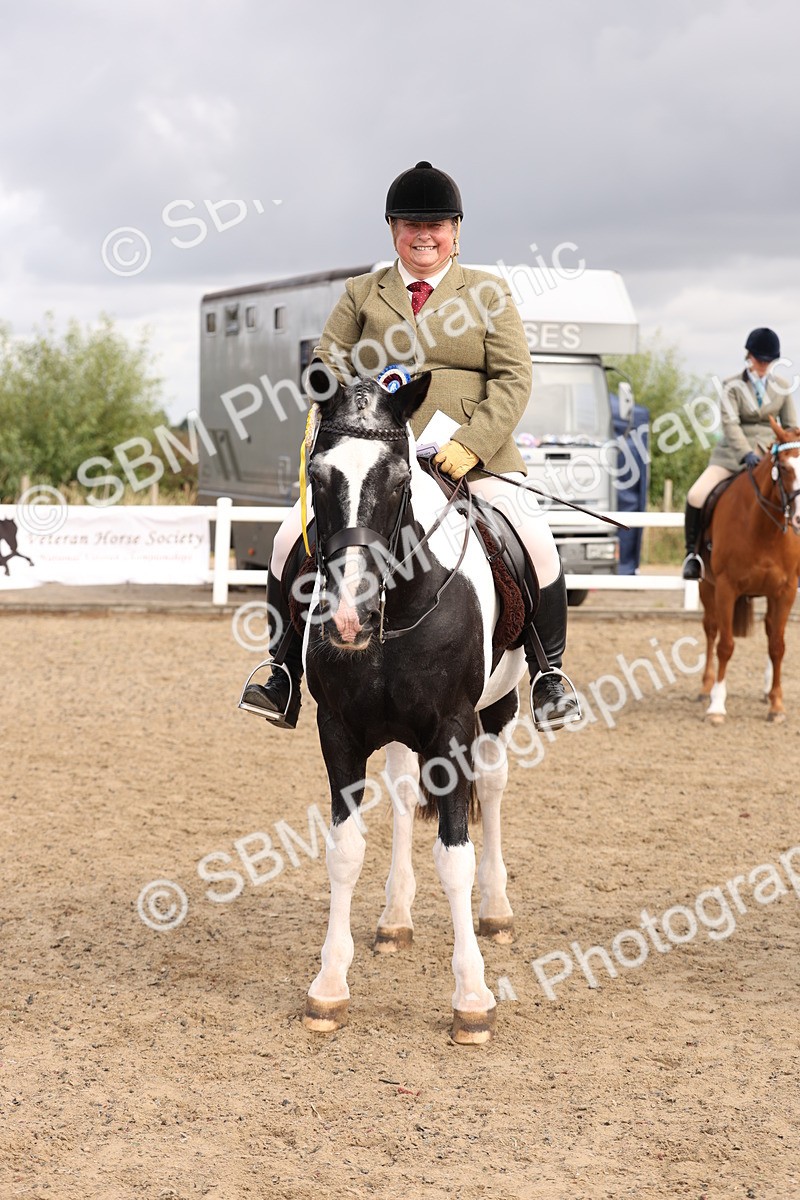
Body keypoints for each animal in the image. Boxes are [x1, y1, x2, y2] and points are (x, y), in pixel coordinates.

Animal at [298, 371, 528, 1045]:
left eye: (400, 480)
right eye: (319, 475)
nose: (348, 617)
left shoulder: (452, 730)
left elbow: (455, 857)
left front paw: (472, 998)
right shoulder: (338, 731)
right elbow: (345, 851)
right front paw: (329, 987)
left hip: (500, 709)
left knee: (494, 791)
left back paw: (496, 911)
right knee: (402, 794)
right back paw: (395, 917)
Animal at [699, 416, 800, 725]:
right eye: (784, 467)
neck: (764, 528)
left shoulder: (785, 591)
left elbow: (778, 646)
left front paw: (777, 705)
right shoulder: (726, 587)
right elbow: (725, 645)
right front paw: (717, 706)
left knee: (769, 631)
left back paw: (767, 691)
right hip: (706, 585)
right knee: (711, 629)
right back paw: (705, 689)